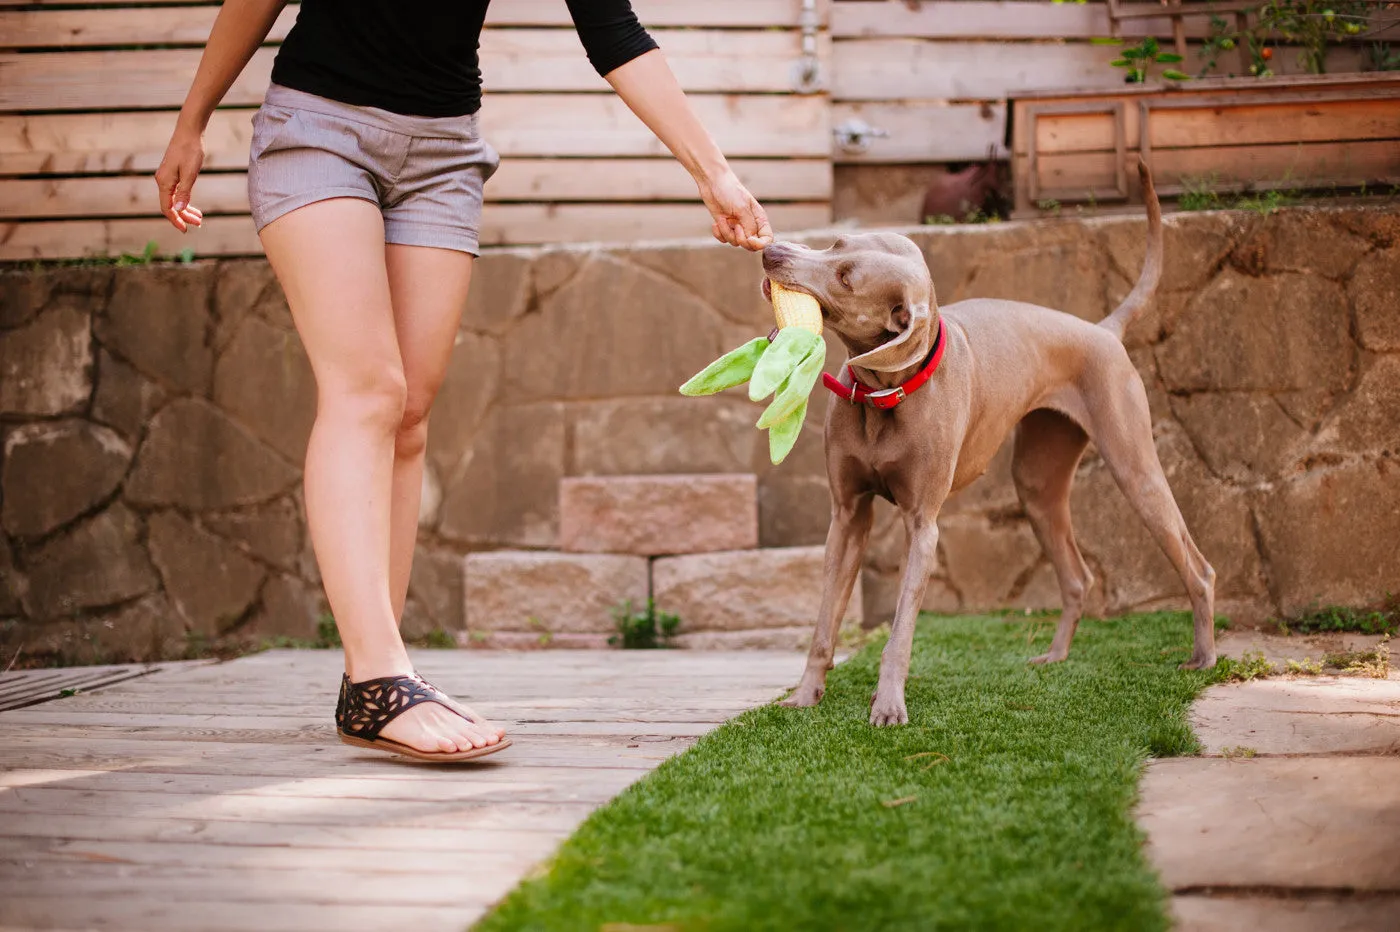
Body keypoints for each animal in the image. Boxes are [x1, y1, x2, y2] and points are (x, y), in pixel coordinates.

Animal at [767, 161, 1215, 727]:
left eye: (846, 278)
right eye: (835, 243)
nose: (772, 251)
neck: (882, 395)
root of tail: (1102, 330)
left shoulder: (923, 526)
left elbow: (900, 629)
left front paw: (888, 703)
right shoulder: (847, 516)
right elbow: (825, 621)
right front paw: (805, 695)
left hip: (1135, 469)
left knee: (1198, 567)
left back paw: (1203, 657)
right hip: (1038, 483)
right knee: (1078, 576)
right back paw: (1055, 656)